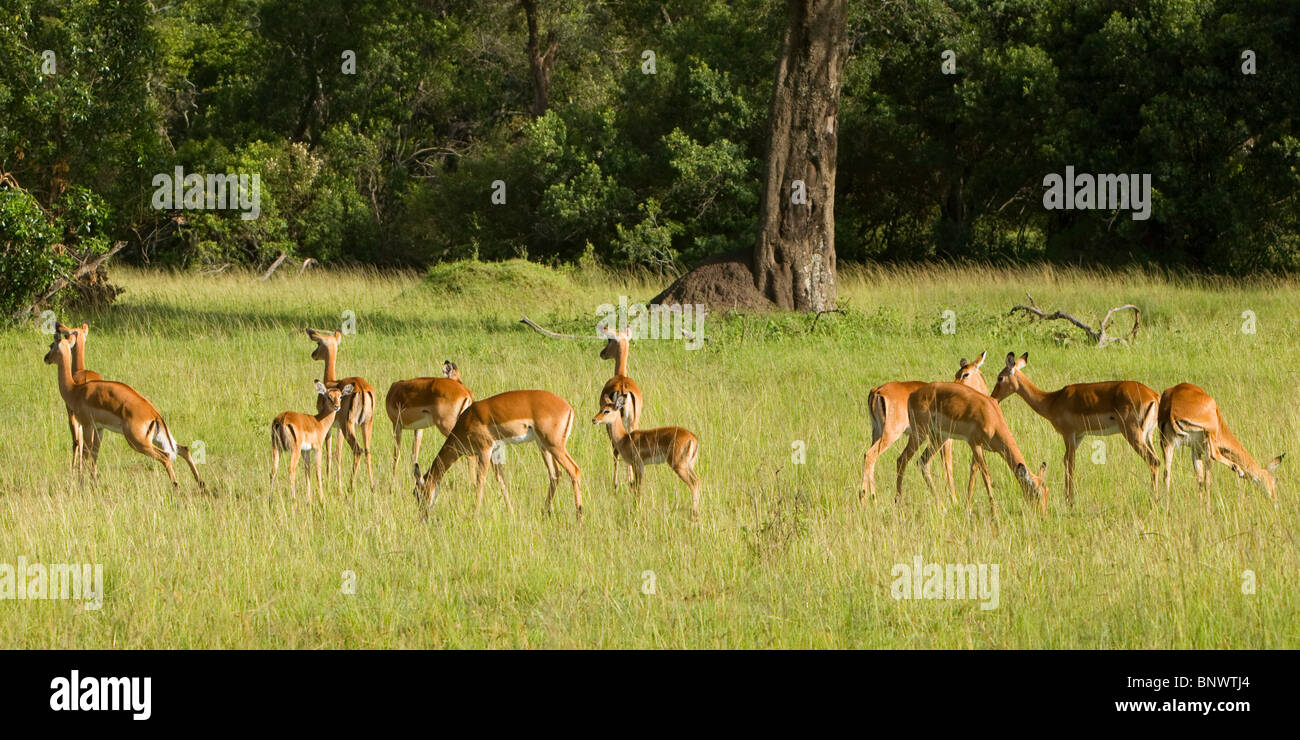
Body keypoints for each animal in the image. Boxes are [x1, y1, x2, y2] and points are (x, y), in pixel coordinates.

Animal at [413, 390, 582, 517]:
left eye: (418, 493)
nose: (423, 516)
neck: (466, 421)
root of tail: (568, 408)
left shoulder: (484, 450)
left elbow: (480, 481)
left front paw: (475, 514)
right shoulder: (495, 452)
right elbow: (501, 480)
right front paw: (511, 512)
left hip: (555, 446)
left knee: (574, 470)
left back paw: (579, 517)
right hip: (544, 446)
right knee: (555, 474)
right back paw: (545, 512)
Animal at [595, 392, 702, 520]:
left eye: (607, 410)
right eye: (600, 408)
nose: (594, 420)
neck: (624, 439)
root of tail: (693, 438)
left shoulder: (638, 465)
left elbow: (637, 488)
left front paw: (637, 509)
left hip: (679, 466)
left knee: (694, 484)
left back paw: (693, 516)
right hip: (689, 466)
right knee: (698, 481)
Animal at [863, 351, 982, 502]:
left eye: (965, 374)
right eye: (959, 373)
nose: (955, 386)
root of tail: (877, 391)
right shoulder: (947, 440)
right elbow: (948, 467)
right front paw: (954, 499)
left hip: (877, 432)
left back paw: (873, 499)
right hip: (893, 434)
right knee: (872, 455)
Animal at [987, 351, 1164, 502]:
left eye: (1000, 377)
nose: (993, 397)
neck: (1052, 400)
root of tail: (1153, 396)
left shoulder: (1069, 435)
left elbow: (1070, 463)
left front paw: (1069, 499)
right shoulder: (1079, 436)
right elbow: (1067, 461)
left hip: (1133, 434)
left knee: (1153, 461)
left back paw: (1153, 499)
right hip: (1148, 436)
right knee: (1159, 460)